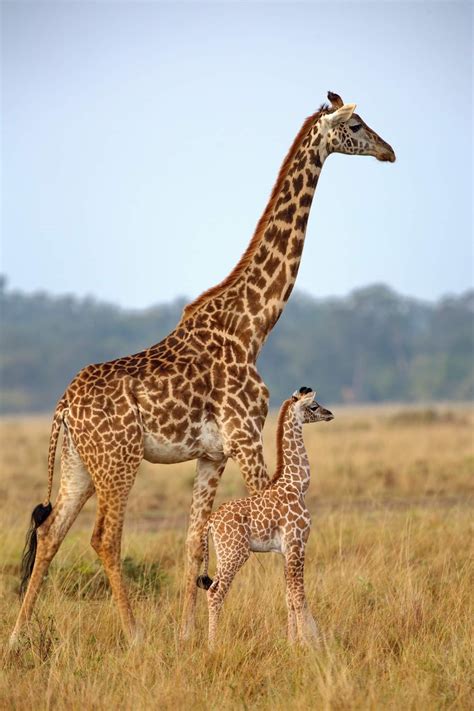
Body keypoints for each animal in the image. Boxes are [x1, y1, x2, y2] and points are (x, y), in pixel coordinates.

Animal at [196, 387, 333, 650]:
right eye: (313, 406)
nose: (330, 414)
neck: (298, 484)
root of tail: (211, 522)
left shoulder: (285, 550)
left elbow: (289, 596)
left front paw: (292, 642)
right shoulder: (298, 543)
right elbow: (299, 595)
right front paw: (311, 643)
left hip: (224, 553)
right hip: (235, 553)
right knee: (215, 593)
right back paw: (212, 645)